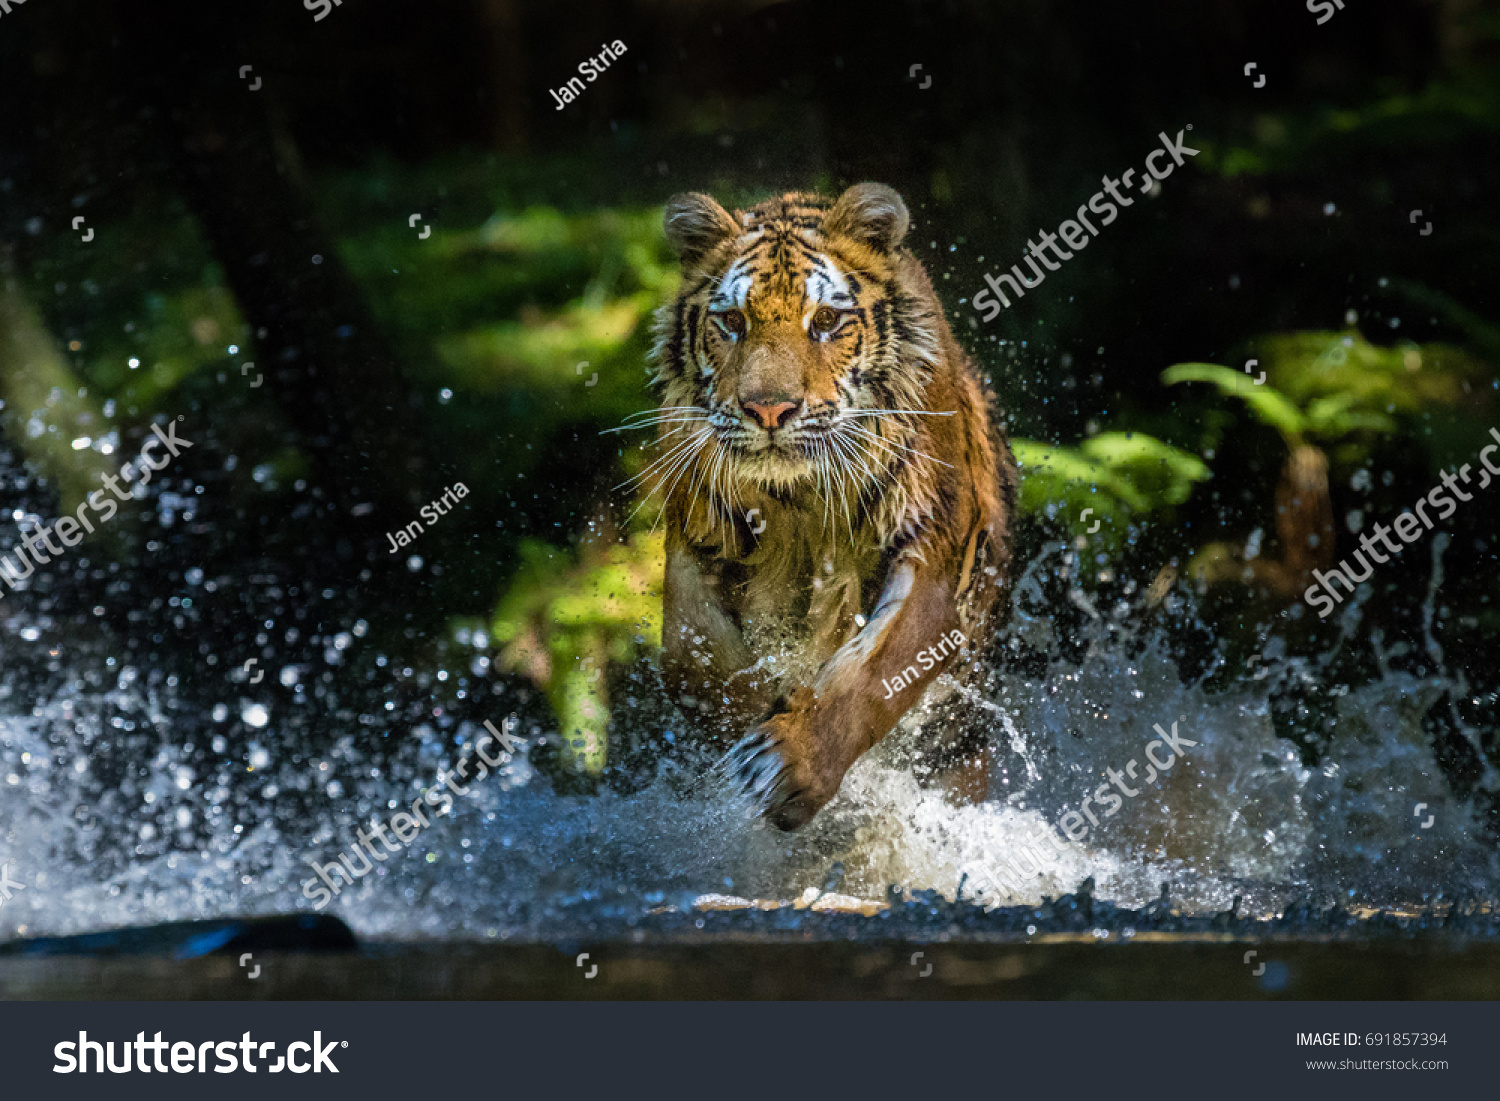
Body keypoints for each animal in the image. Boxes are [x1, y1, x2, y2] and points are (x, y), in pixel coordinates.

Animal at [635, 182, 1018, 830]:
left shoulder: (931, 549)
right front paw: (755, 722)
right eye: (732, 322)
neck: (796, 501)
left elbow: (874, 674)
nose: (768, 408)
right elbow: (696, 662)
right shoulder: (695, 543)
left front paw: (784, 764)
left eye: (827, 321)